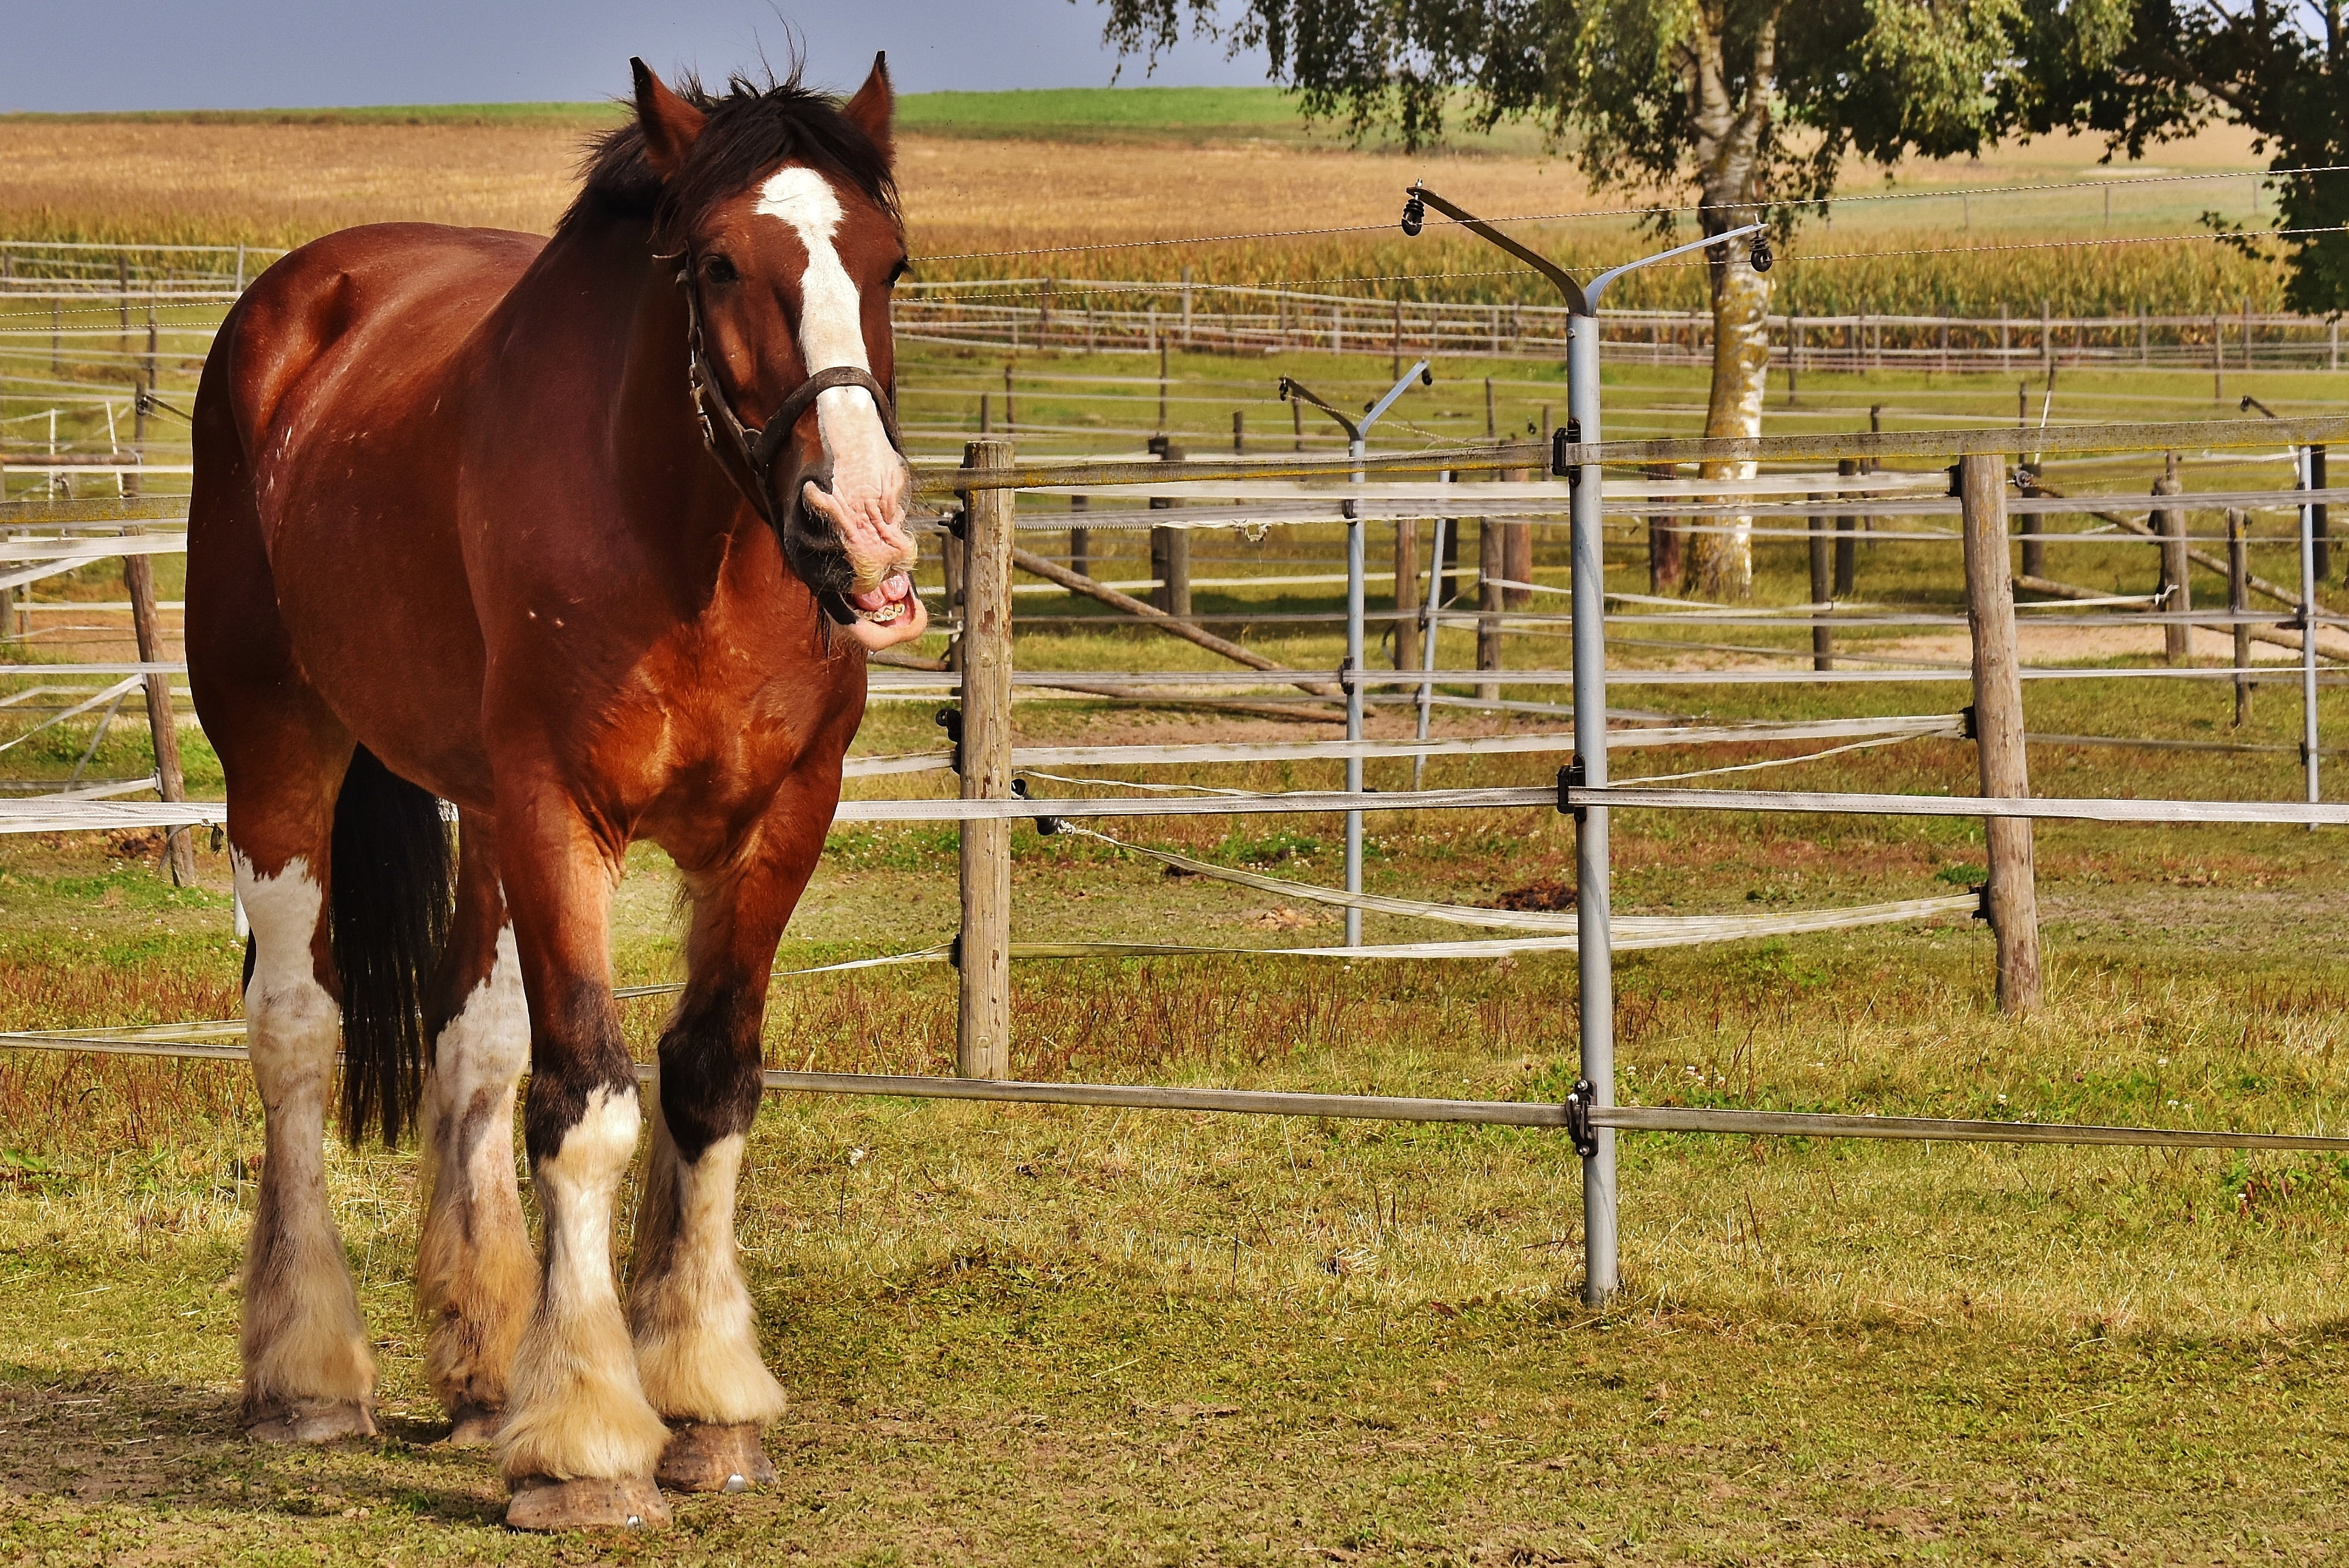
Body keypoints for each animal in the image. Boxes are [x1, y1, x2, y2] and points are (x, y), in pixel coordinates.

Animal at [186, 56, 926, 1531]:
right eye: (718, 263)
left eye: (889, 261)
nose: (863, 527)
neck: (684, 541)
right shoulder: (557, 814)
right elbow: (586, 1100)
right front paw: (586, 1441)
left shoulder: (779, 822)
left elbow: (704, 1083)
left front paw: (699, 1401)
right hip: (278, 750)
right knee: (294, 1030)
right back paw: (306, 1377)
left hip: (472, 809)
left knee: (469, 1046)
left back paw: (483, 1366)